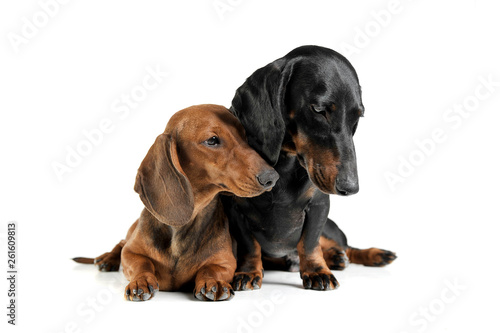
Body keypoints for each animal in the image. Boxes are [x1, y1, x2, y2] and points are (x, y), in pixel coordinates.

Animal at [72, 104, 280, 300]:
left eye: (244, 136)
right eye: (212, 140)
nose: (272, 177)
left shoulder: (225, 261)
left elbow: (211, 269)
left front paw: (213, 282)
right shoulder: (132, 254)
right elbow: (141, 262)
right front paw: (140, 281)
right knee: (121, 243)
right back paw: (108, 258)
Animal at [225, 44, 396, 290]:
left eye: (358, 115)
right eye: (318, 109)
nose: (351, 188)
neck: (285, 163)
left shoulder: (319, 205)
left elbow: (309, 242)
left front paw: (317, 271)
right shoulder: (236, 208)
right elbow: (250, 246)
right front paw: (248, 272)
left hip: (331, 229)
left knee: (346, 247)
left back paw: (367, 255)